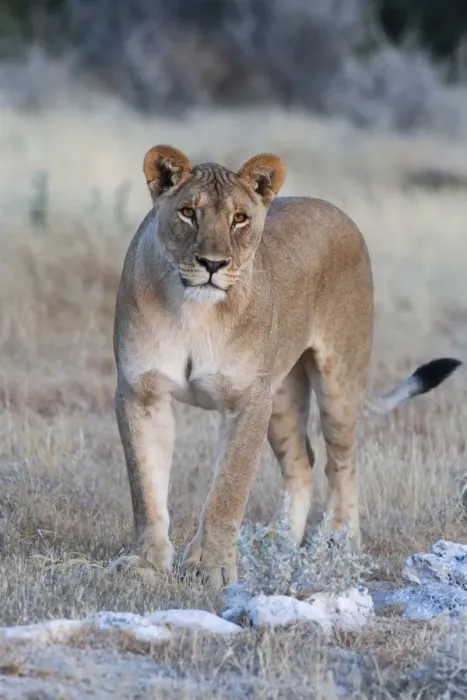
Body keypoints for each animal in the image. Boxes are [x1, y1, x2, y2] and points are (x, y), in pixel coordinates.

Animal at [111, 144, 461, 587]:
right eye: (188, 212)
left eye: (239, 218)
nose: (212, 264)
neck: (193, 311)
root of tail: (338, 212)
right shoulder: (141, 393)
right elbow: (145, 486)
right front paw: (146, 563)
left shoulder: (248, 400)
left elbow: (229, 488)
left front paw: (211, 568)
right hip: (281, 397)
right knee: (302, 465)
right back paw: (278, 542)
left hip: (336, 382)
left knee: (343, 464)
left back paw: (340, 544)